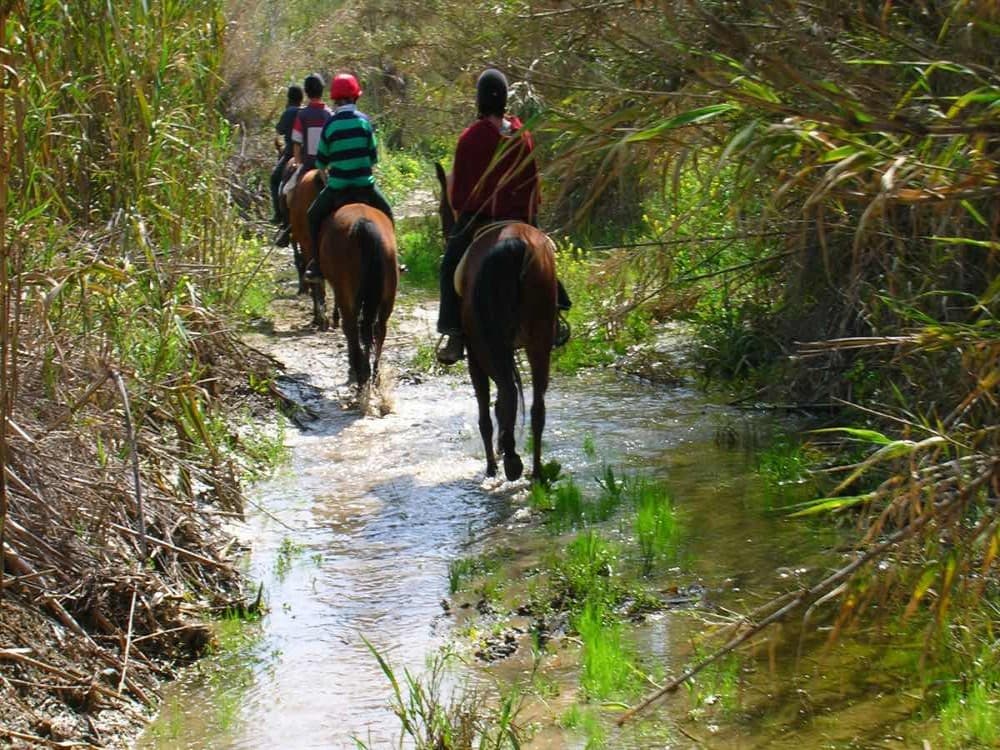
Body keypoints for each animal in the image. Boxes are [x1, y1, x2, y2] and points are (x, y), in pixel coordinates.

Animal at [315, 203, 398, 387]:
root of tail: (363, 225)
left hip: (346, 292)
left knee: (352, 327)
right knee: (378, 328)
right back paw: (373, 374)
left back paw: (359, 370)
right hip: (388, 296)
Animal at [434, 162, 557, 482]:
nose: (447, 231)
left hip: (485, 345)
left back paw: (508, 462)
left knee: (506, 393)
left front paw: (492, 463)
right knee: (536, 406)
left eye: (442, 208)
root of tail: (516, 245)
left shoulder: (475, 356)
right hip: (539, 340)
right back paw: (536, 470)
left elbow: (485, 408)